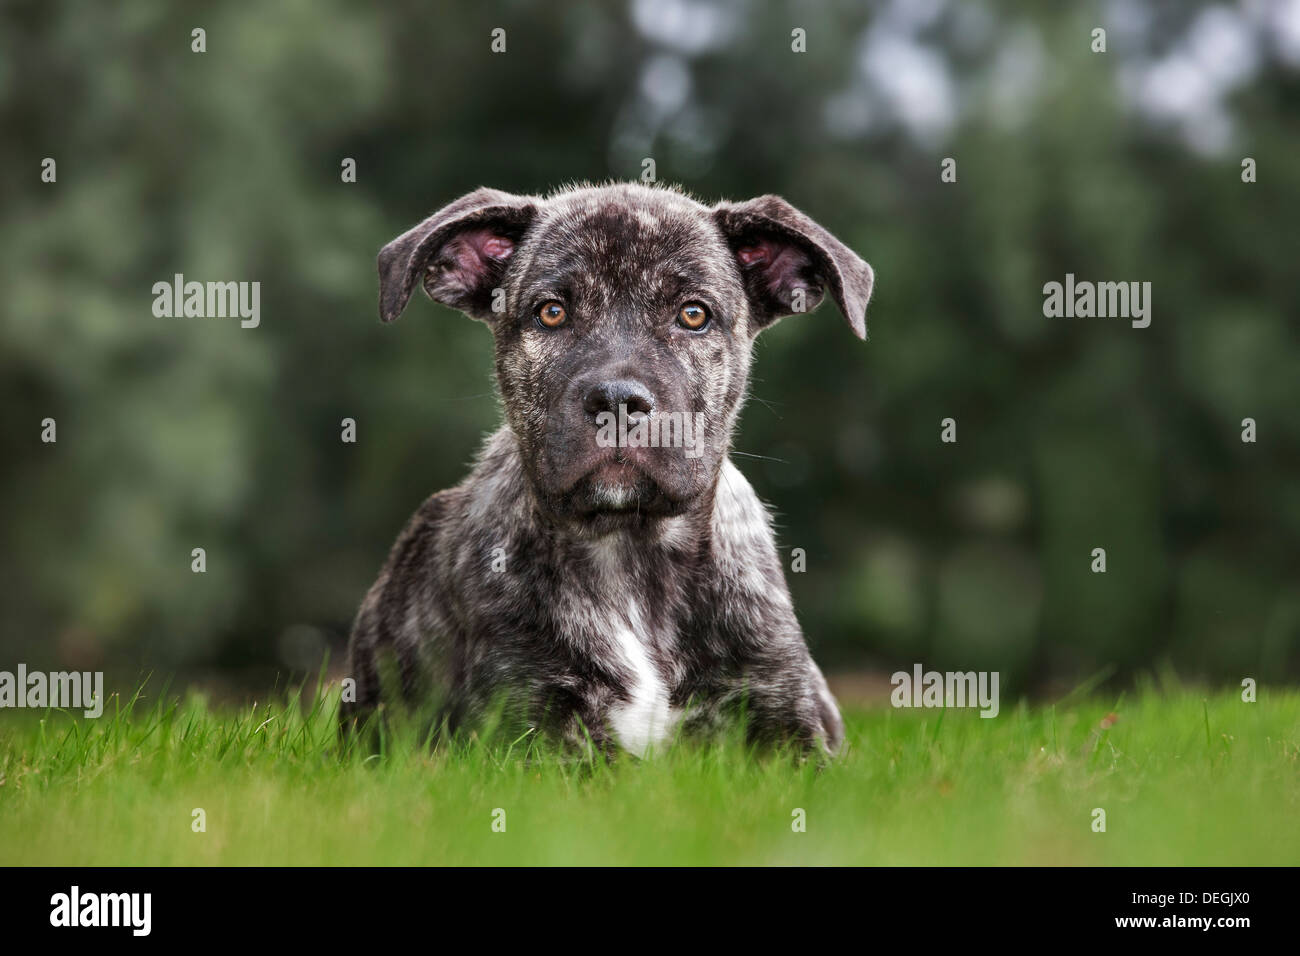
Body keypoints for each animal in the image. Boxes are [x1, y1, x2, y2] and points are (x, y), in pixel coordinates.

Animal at [345, 183, 873, 759]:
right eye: (551, 312)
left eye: (694, 315)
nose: (618, 401)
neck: (630, 552)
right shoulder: (526, 724)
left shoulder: (786, 723)